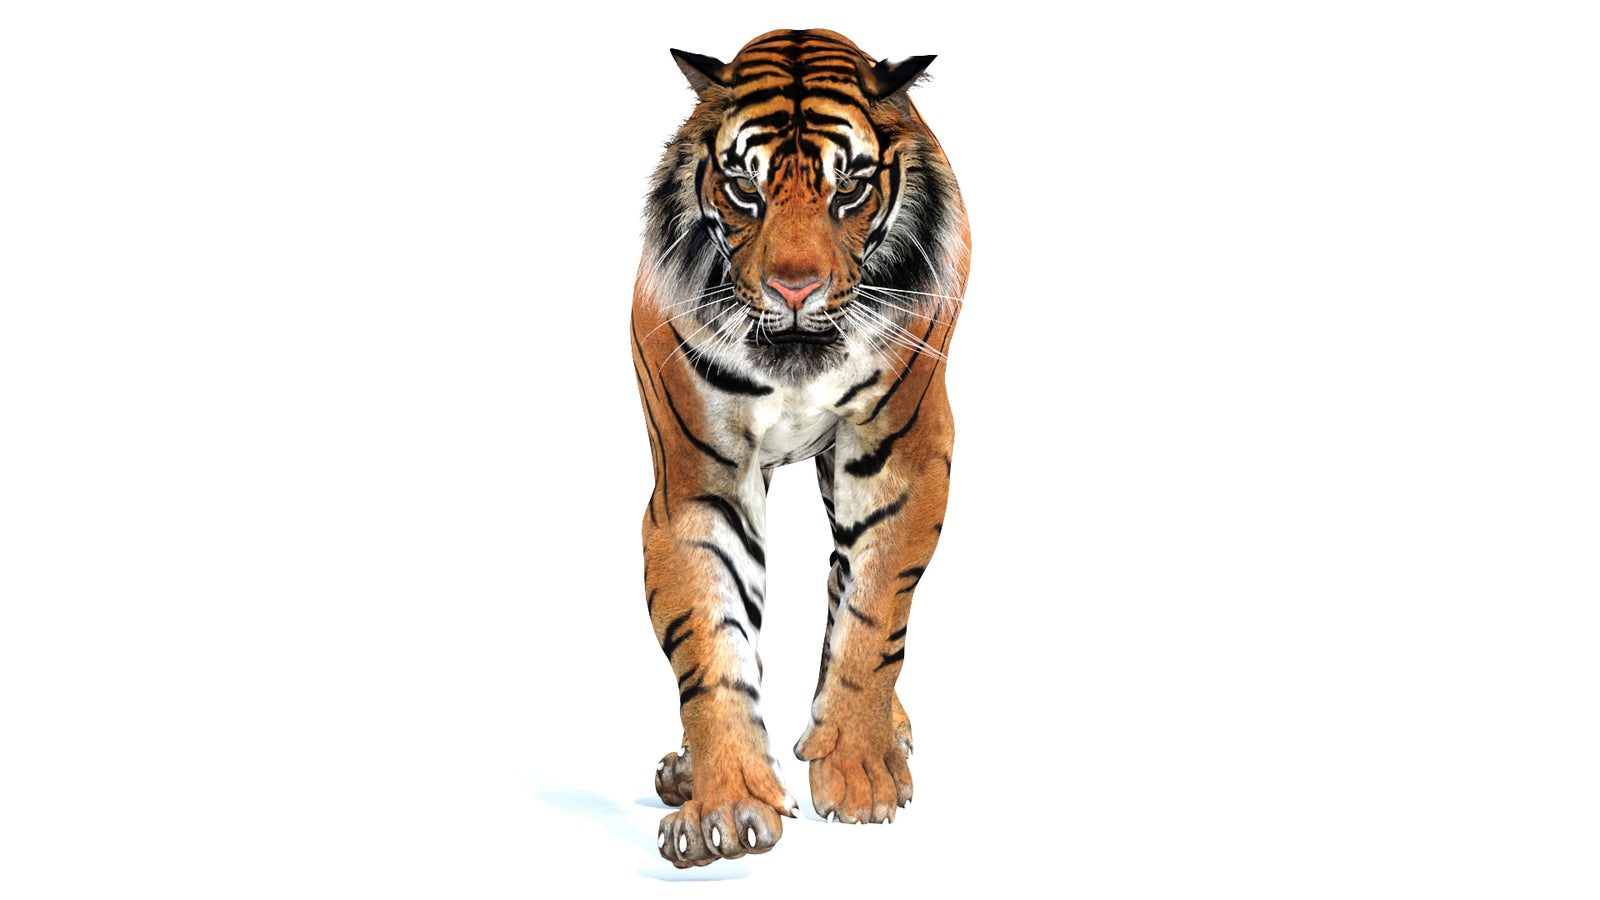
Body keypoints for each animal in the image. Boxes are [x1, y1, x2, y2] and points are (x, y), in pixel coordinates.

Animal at [630, 29, 969, 867]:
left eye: (848, 189)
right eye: (743, 190)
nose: (793, 289)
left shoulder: (903, 456)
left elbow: (873, 612)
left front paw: (857, 771)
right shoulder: (699, 482)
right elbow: (711, 645)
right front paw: (726, 805)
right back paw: (684, 770)